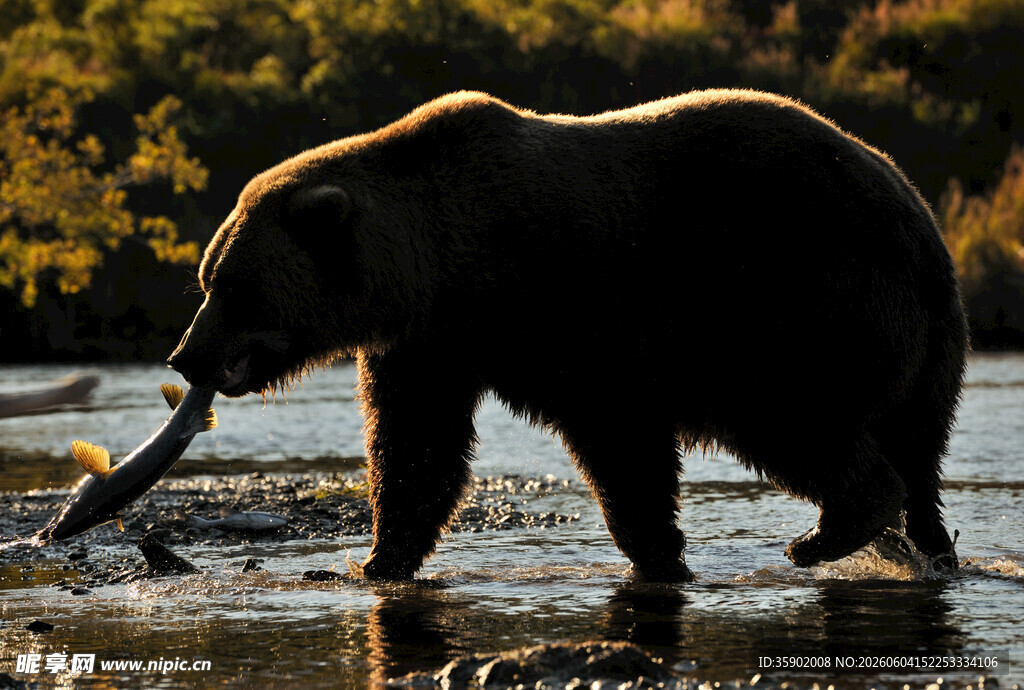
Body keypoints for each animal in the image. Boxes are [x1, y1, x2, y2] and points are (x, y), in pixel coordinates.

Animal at [167, 89, 968, 582]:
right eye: (206, 279)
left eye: (232, 286)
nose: (186, 356)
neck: (443, 264)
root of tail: (919, 219)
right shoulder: (432, 344)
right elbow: (417, 448)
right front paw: (375, 560)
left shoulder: (567, 306)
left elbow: (619, 437)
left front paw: (659, 553)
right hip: (921, 341)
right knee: (918, 450)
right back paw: (929, 547)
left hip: (797, 299)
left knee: (797, 418)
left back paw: (823, 536)